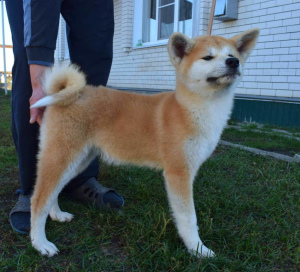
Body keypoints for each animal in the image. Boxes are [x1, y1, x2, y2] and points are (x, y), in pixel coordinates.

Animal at [31, 27, 260, 258]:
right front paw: (198, 249)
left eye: (233, 54)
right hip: (63, 155)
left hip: (78, 160)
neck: (190, 109)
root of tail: (64, 93)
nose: (233, 62)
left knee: (53, 191)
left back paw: (57, 214)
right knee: (39, 198)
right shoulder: (179, 172)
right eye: (208, 57)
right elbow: (188, 218)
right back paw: (40, 243)